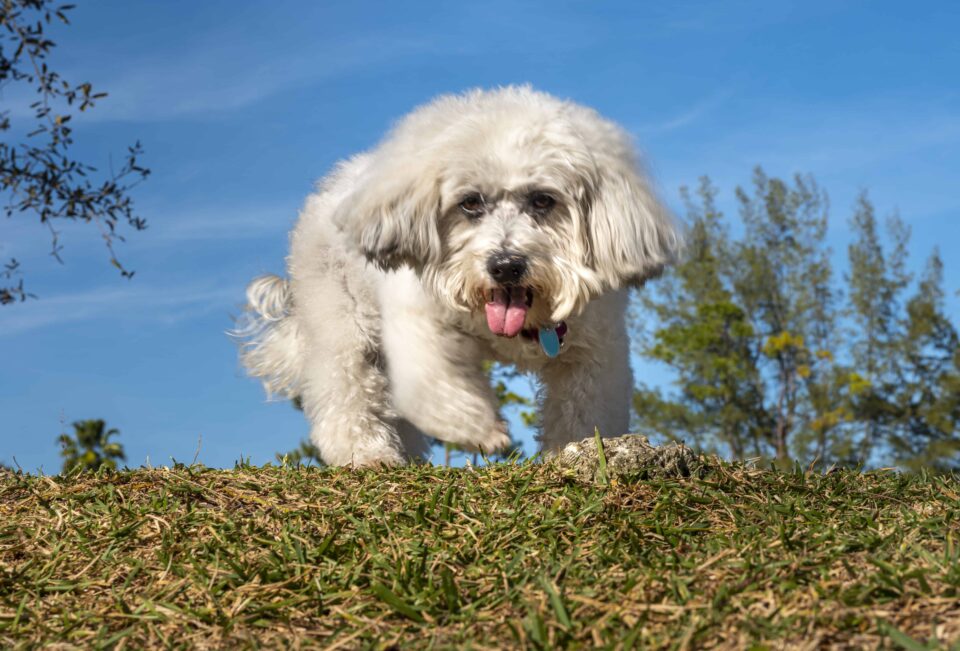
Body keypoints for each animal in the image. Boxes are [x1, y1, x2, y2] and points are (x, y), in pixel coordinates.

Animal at [235, 86, 680, 466]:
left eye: (543, 200)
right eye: (470, 203)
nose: (505, 265)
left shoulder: (595, 351)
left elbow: (584, 409)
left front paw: (576, 452)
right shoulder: (418, 325)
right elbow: (436, 384)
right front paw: (479, 429)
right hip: (342, 324)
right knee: (347, 392)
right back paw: (368, 455)